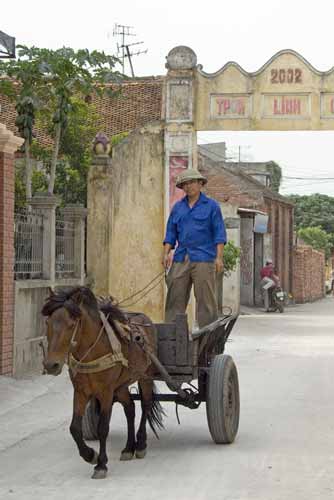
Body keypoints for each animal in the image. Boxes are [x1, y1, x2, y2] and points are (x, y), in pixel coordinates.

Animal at [41, 288, 164, 478]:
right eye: (48, 322)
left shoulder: (106, 392)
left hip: (145, 377)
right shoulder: (81, 391)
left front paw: (101, 464)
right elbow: (74, 428)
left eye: (71, 324)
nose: (51, 365)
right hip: (121, 386)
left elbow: (103, 427)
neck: (94, 349)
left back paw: (141, 444)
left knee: (146, 405)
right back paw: (128, 448)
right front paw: (90, 455)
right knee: (130, 409)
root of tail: (145, 319)